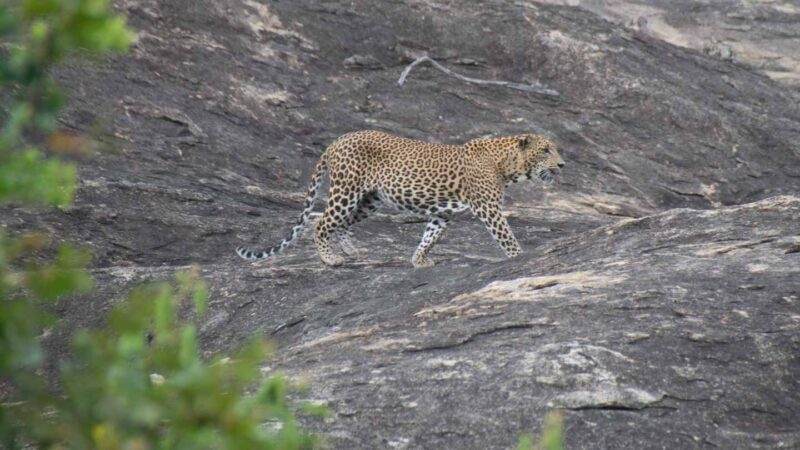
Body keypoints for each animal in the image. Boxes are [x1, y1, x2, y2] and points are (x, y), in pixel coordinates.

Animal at [234, 130, 564, 268]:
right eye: (546, 150)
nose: (562, 164)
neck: (508, 165)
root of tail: (335, 141)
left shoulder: (441, 214)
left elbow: (430, 236)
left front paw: (419, 260)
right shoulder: (488, 208)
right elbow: (506, 237)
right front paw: (520, 257)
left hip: (369, 200)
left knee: (337, 223)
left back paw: (352, 250)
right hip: (346, 190)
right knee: (321, 222)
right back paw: (330, 258)